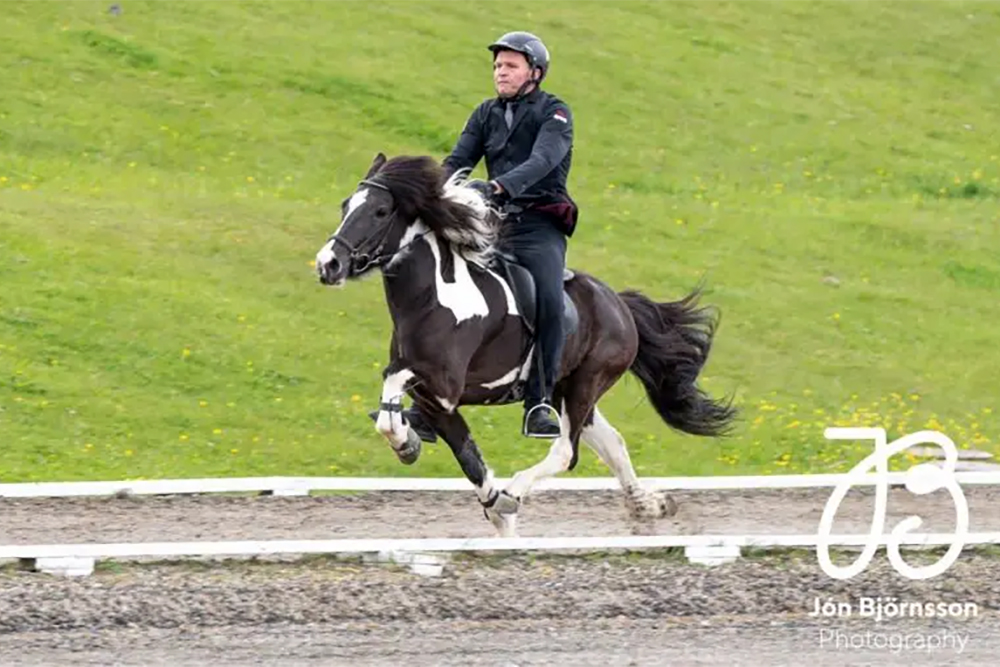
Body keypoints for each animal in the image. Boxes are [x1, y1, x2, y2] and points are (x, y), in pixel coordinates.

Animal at [316, 153, 740, 536]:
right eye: (346, 206)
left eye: (381, 211)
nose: (327, 265)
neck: (433, 298)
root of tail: (618, 303)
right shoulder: (437, 400)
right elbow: (463, 455)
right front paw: (413, 445)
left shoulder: (446, 386)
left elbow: (396, 383)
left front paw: (415, 449)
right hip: (567, 390)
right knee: (612, 443)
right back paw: (650, 506)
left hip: (587, 381)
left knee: (566, 450)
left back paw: (518, 490)